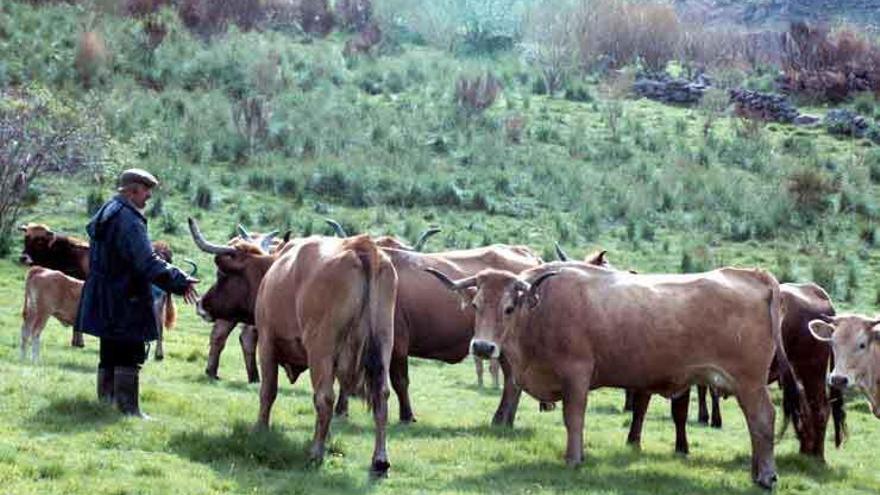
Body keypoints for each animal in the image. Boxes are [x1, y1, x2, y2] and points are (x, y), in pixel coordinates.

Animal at [192, 218, 398, 476]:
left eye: (221, 274)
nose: (201, 304)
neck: (272, 272)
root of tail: (361, 247)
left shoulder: (267, 343)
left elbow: (268, 391)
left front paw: (260, 429)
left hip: (321, 349)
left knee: (324, 398)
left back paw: (315, 453)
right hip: (382, 346)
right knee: (381, 396)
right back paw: (380, 460)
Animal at [426, 262, 804, 490]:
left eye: (508, 308)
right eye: (476, 306)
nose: (483, 346)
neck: (541, 310)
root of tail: (753, 275)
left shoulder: (576, 374)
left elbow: (573, 418)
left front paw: (573, 459)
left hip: (749, 382)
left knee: (762, 419)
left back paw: (766, 475)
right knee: (756, 425)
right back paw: (756, 471)